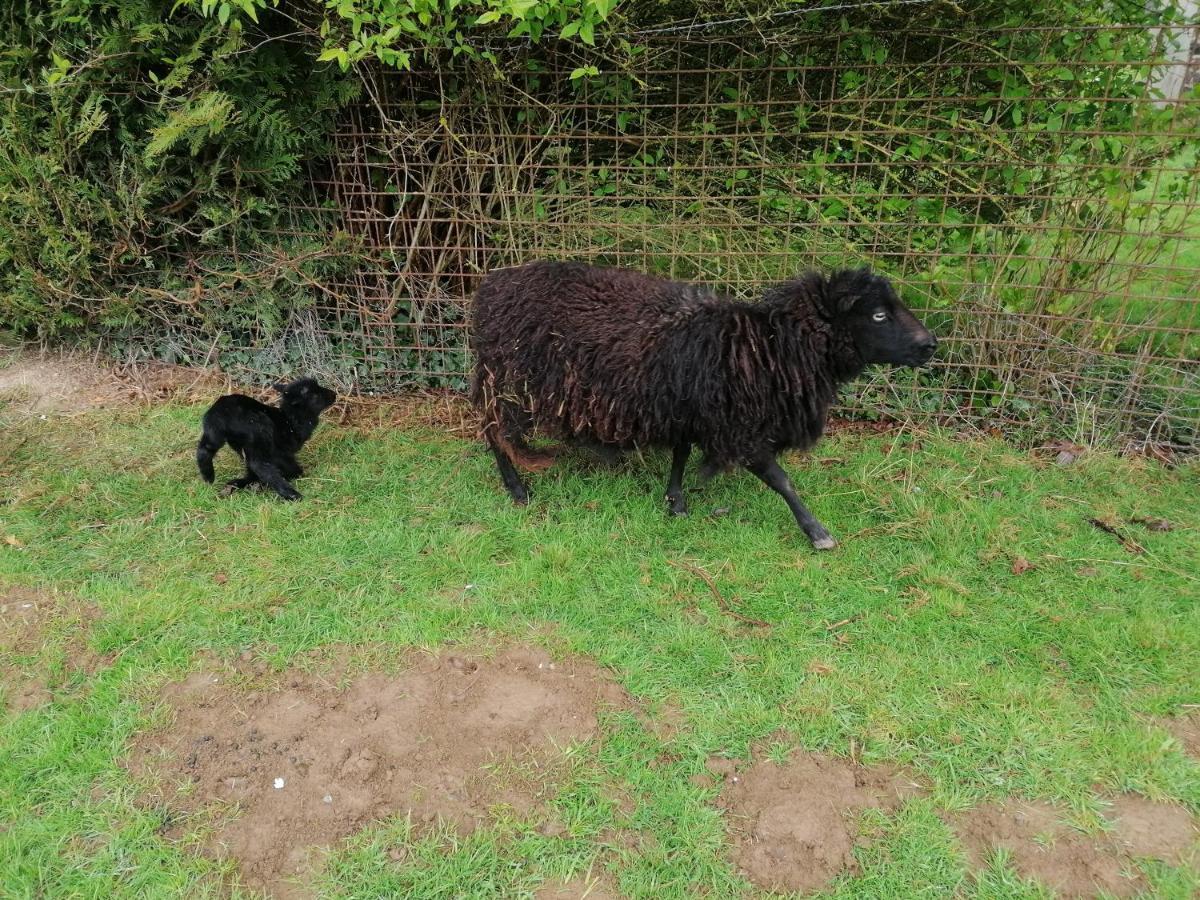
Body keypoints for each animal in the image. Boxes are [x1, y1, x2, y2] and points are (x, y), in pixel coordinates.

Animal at [196, 374, 336, 501]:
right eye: (315, 395)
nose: (334, 394)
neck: (290, 420)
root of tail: (222, 414)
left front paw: (241, 483)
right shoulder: (280, 452)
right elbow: (287, 466)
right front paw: (294, 473)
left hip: (214, 433)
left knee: (204, 450)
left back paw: (210, 478)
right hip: (258, 434)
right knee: (259, 464)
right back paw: (291, 494)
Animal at [468, 256, 936, 547]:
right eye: (878, 315)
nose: (931, 345)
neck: (767, 346)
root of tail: (489, 287)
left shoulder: (691, 407)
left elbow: (680, 453)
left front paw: (676, 502)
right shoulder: (739, 427)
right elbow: (780, 479)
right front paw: (817, 532)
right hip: (509, 380)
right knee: (494, 432)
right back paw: (517, 490)